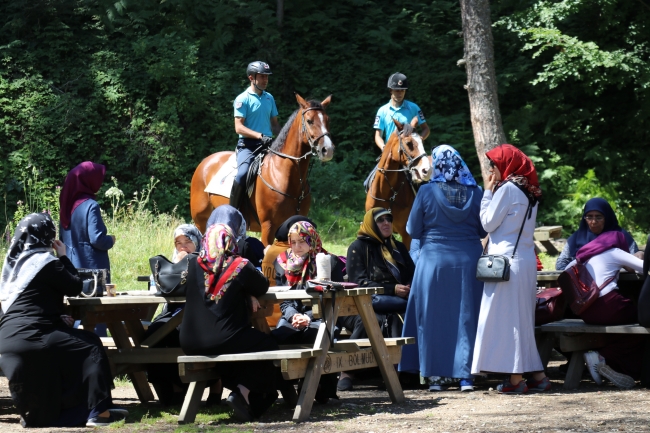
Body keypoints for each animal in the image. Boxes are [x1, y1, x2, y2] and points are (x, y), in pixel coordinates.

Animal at [186, 93, 330, 245]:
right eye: (309, 121)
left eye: (328, 120)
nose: (328, 149)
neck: (282, 175)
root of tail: (205, 161)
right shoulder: (268, 227)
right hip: (200, 221)